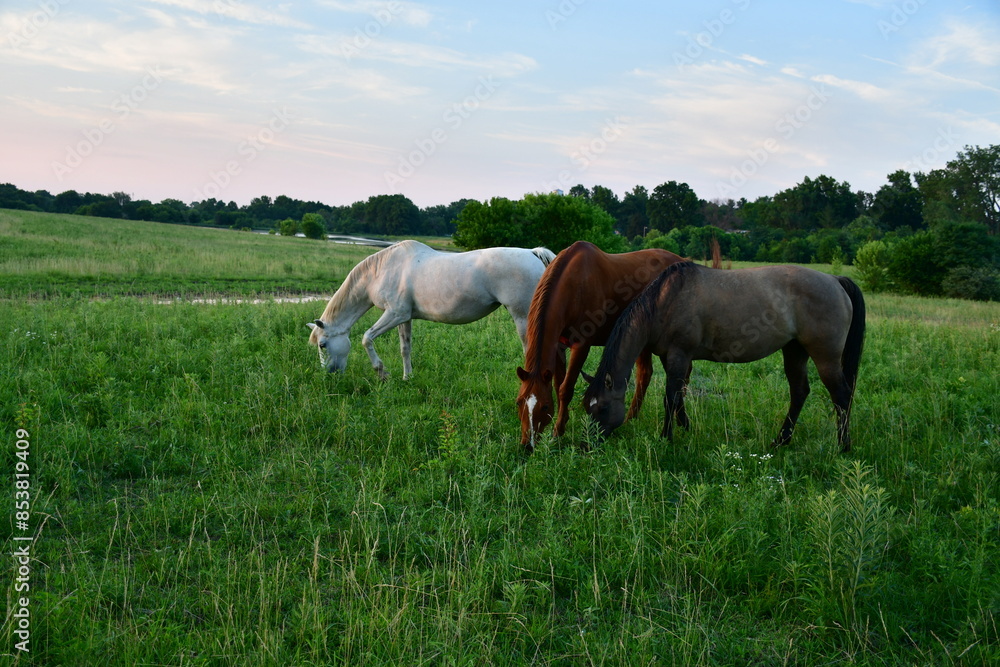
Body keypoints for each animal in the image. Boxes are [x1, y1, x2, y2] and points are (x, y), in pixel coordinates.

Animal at [308, 240, 555, 379]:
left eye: (322, 344)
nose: (329, 374)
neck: (382, 270)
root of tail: (533, 253)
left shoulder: (394, 314)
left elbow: (367, 338)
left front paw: (382, 373)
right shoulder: (404, 318)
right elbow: (405, 348)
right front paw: (407, 378)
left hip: (523, 318)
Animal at [515, 241, 684, 451]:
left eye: (545, 406)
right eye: (518, 403)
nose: (527, 445)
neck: (574, 285)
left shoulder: (582, 346)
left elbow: (565, 389)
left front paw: (557, 433)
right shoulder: (558, 346)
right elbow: (557, 384)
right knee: (645, 375)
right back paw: (632, 420)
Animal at [583, 261, 865, 452]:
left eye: (603, 408)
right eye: (587, 407)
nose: (586, 445)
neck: (666, 301)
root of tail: (835, 280)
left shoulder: (679, 355)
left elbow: (670, 398)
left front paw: (666, 437)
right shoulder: (671, 358)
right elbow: (679, 397)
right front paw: (687, 428)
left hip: (826, 357)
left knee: (841, 396)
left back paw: (843, 446)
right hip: (794, 351)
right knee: (799, 392)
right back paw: (781, 441)